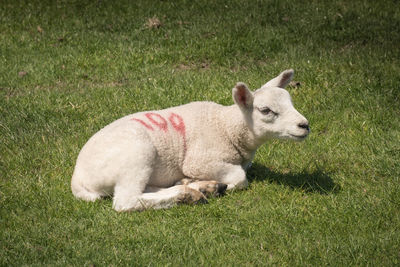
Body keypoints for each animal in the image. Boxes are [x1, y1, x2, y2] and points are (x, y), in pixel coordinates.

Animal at [71, 70, 310, 213]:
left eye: (290, 102)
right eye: (266, 110)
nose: (305, 125)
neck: (226, 126)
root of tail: (78, 180)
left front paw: (202, 183)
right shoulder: (200, 160)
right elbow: (240, 178)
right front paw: (220, 184)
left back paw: (199, 187)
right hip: (136, 155)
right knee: (126, 201)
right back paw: (189, 194)